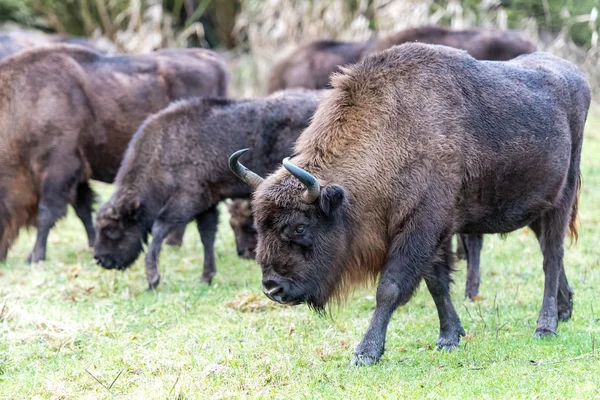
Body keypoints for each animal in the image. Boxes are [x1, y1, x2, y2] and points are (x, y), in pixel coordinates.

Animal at [0, 44, 229, 262]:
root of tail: (212, 58)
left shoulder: (58, 168)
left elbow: (47, 212)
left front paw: (34, 257)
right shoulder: (77, 175)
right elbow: (83, 210)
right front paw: (93, 244)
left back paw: (172, 243)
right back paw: (172, 243)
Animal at [92, 89, 324, 290]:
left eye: (112, 229)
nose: (100, 259)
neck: (162, 149)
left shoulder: (188, 199)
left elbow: (160, 227)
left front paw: (152, 279)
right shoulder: (207, 204)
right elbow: (207, 237)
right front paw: (206, 277)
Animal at [231, 43, 592, 366]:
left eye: (299, 227)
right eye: (260, 226)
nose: (272, 288)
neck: (393, 133)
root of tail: (578, 77)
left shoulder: (420, 229)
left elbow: (390, 288)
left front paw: (365, 353)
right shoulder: (434, 233)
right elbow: (436, 284)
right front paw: (450, 337)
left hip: (561, 200)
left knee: (551, 257)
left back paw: (546, 326)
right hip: (537, 208)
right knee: (552, 255)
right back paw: (566, 309)